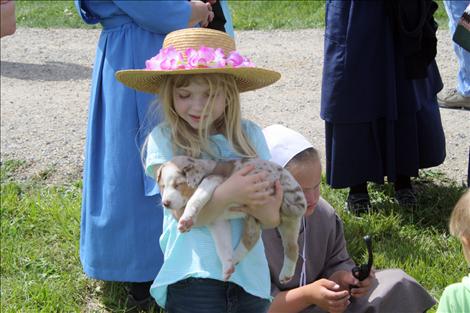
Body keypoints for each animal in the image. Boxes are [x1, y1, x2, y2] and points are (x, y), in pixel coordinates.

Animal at [156, 155, 306, 282]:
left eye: (177, 185)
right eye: (162, 186)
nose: (165, 203)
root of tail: (300, 200)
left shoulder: (212, 180)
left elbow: (196, 198)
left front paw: (186, 219)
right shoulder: (217, 222)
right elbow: (223, 245)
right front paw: (227, 266)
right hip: (272, 221)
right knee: (287, 246)